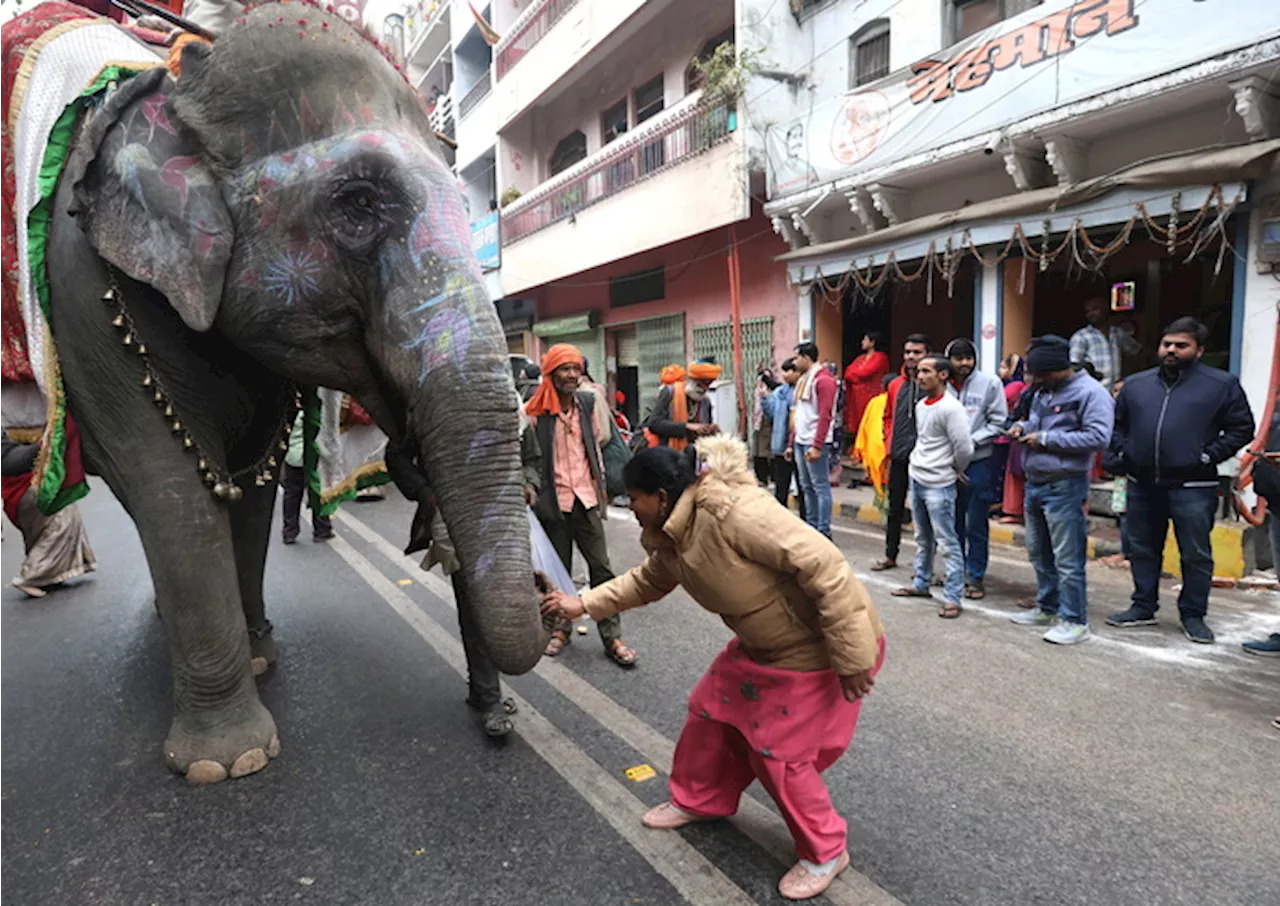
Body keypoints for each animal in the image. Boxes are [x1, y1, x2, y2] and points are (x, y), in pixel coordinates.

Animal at [6, 0, 545, 783]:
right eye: (358, 203)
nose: (495, 715)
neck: (179, 86)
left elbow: (250, 481)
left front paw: (260, 657)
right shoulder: (85, 289)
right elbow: (171, 486)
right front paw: (228, 763)